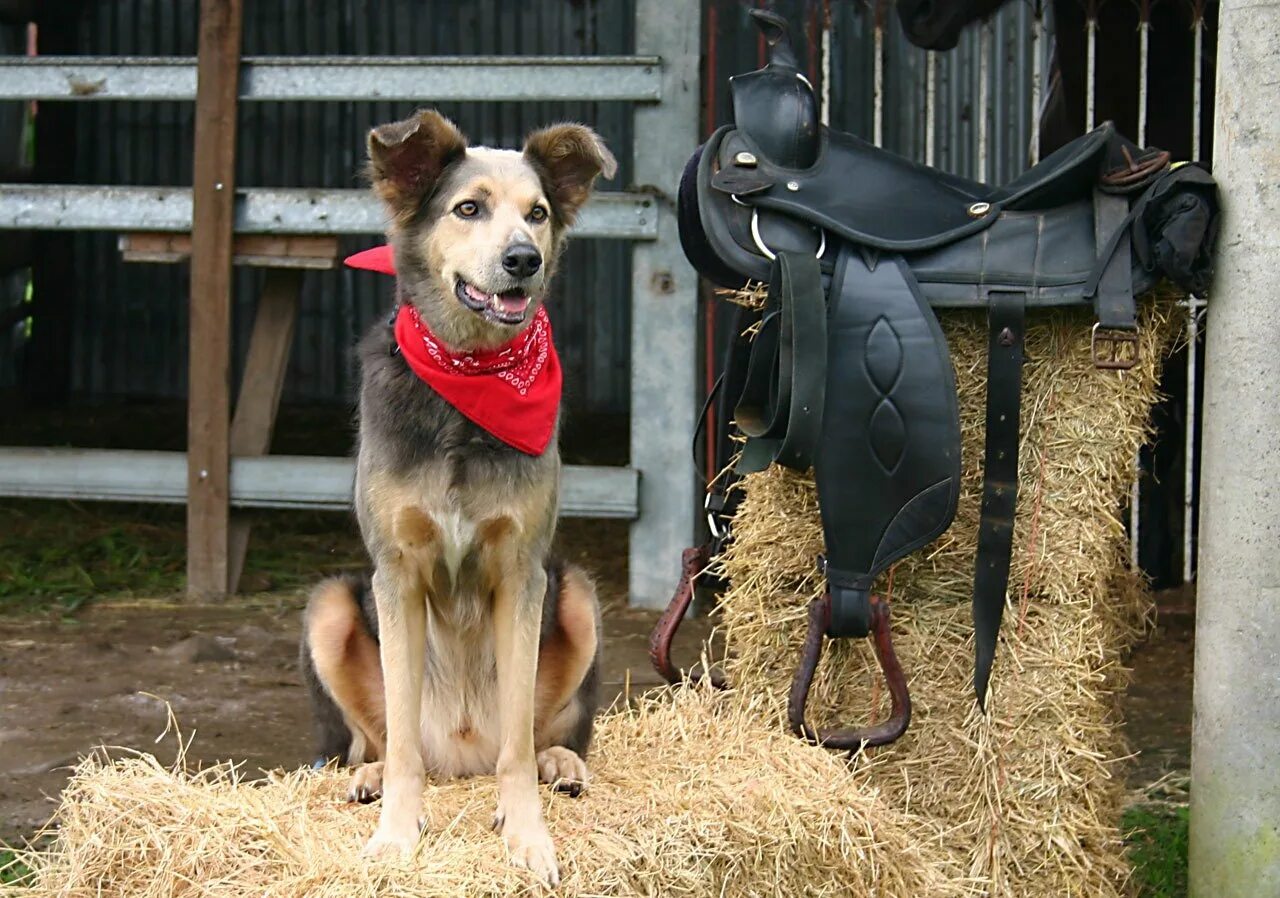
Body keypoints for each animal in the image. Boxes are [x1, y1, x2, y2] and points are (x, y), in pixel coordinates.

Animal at [302, 107, 616, 885]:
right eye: (467, 209)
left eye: (537, 214)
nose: (523, 260)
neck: (469, 383)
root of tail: (461, 758)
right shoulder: (395, 572)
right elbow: (403, 741)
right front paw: (395, 836)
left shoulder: (524, 571)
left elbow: (516, 749)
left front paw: (528, 836)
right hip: (330, 606)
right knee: (379, 739)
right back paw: (369, 776)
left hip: (577, 594)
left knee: (547, 732)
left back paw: (561, 763)